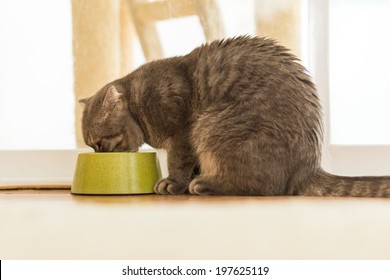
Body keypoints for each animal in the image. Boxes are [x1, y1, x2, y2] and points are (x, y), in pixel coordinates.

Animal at [80, 35, 390, 197]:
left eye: (102, 143)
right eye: (92, 146)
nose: (99, 156)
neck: (139, 101)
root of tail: (308, 167)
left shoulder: (182, 132)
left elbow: (178, 161)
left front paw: (174, 182)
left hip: (211, 124)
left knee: (264, 187)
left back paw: (204, 184)